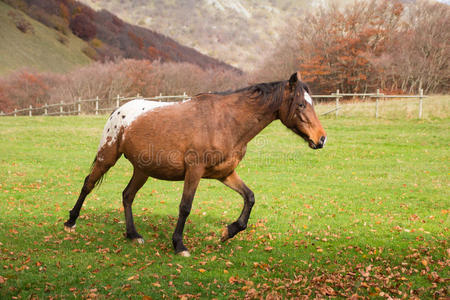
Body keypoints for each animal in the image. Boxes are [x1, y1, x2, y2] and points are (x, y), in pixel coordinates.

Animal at [63, 71, 326, 256]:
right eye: (301, 104)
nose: (321, 139)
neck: (226, 121)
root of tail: (119, 110)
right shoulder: (194, 171)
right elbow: (185, 207)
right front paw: (179, 245)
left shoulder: (225, 173)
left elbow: (249, 197)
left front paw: (227, 232)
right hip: (107, 156)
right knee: (88, 184)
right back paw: (71, 221)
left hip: (142, 169)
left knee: (127, 195)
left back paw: (133, 234)